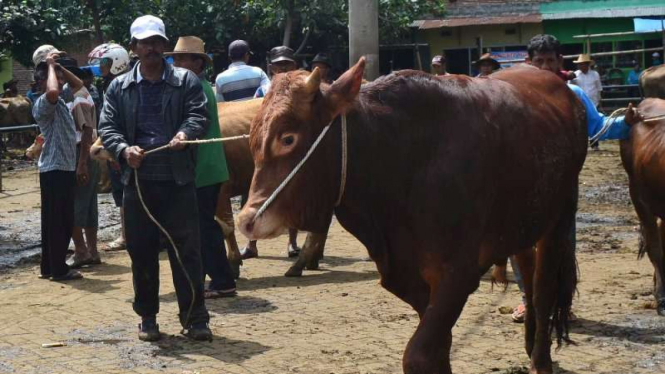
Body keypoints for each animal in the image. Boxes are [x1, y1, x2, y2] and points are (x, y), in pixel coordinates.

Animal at [236, 60, 584, 372]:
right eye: (252, 138)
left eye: (287, 138)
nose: (247, 220)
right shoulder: (408, 277)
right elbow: (438, 350)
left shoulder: (459, 272)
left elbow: (420, 355)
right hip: (522, 222)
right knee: (527, 271)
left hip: (560, 217)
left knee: (543, 288)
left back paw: (541, 359)